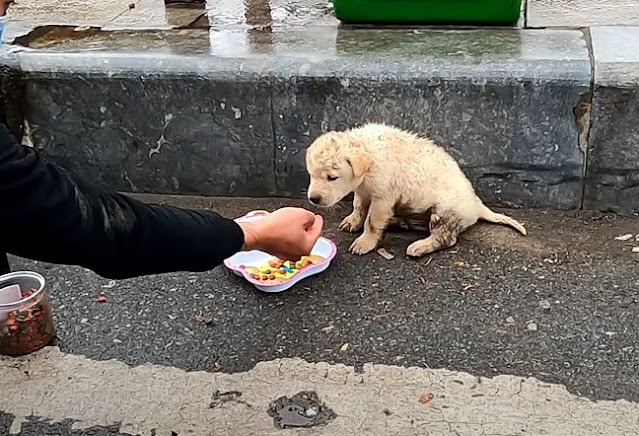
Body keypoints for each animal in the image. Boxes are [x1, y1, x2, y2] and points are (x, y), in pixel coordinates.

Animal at [308, 122, 528, 258]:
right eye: (311, 174)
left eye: (332, 177)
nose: (313, 199)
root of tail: (477, 205)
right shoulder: (363, 191)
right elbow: (358, 205)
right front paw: (353, 221)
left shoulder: (382, 198)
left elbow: (372, 222)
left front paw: (365, 242)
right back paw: (398, 223)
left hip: (444, 210)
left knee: (445, 238)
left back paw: (420, 246)